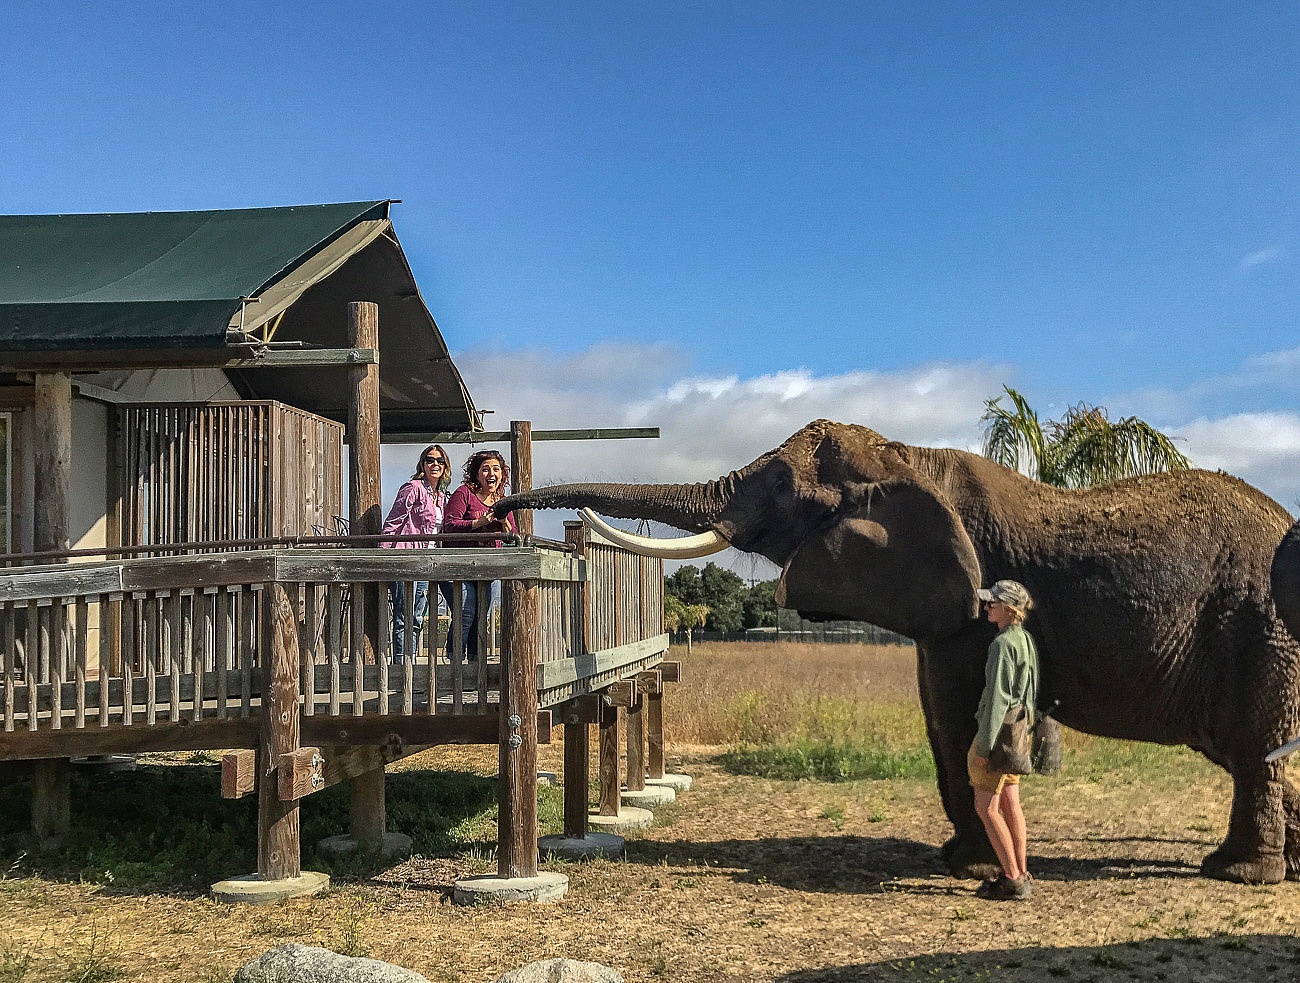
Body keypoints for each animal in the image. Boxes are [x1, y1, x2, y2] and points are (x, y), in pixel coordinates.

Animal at [499, 416, 1300, 884]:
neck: (910, 457)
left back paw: (1239, 873)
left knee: (1254, 744)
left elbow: (952, 713)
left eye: (782, 482)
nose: (503, 502)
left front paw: (967, 866)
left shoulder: (971, 607)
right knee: (1251, 749)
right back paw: (1282, 864)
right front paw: (957, 860)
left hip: (1262, 629)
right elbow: (936, 715)